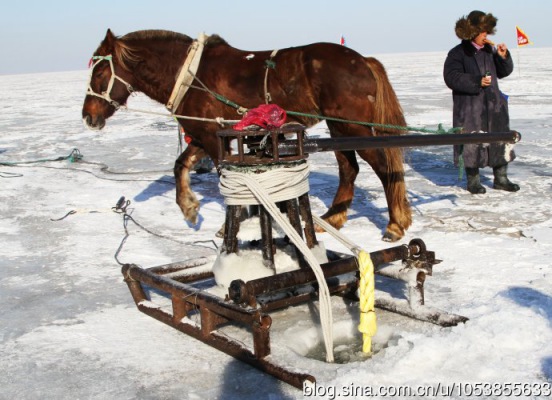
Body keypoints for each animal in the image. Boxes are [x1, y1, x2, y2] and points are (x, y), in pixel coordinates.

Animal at [81, 29, 410, 241]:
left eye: (99, 72)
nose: (88, 116)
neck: (190, 77)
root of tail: (364, 60)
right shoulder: (202, 134)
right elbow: (180, 165)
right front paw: (189, 208)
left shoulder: (212, 138)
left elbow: (226, 180)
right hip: (339, 128)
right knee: (348, 168)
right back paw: (333, 219)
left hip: (351, 126)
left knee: (383, 168)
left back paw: (395, 224)